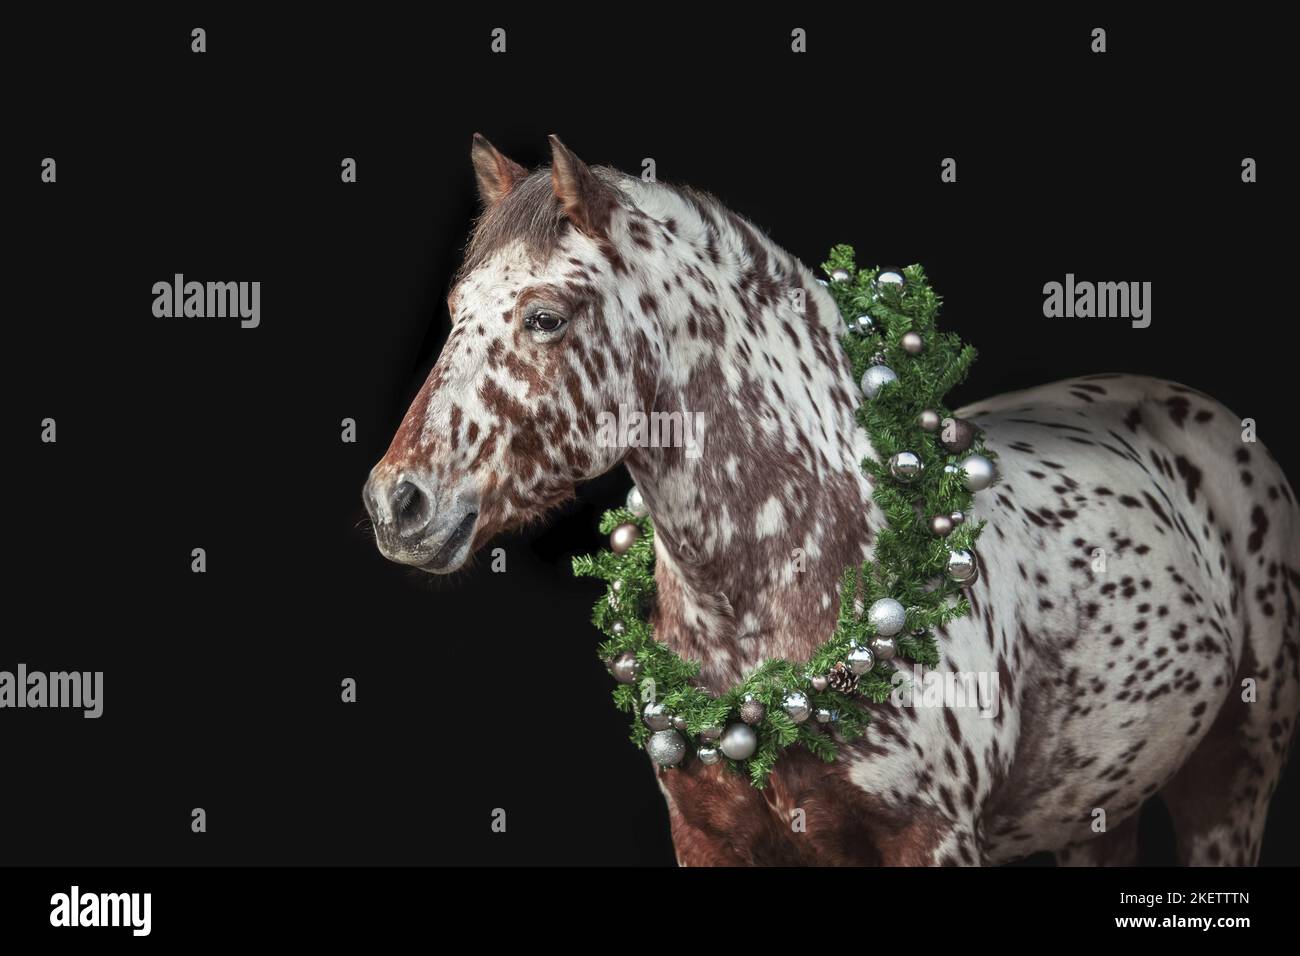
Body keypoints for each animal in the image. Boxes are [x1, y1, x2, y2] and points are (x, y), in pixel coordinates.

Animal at [362, 134, 1300, 865]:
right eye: (455, 309)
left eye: (546, 317)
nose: (395, 503)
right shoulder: (710, 840)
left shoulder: (933, 841)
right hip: (1097, 810)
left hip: (1234, 779)